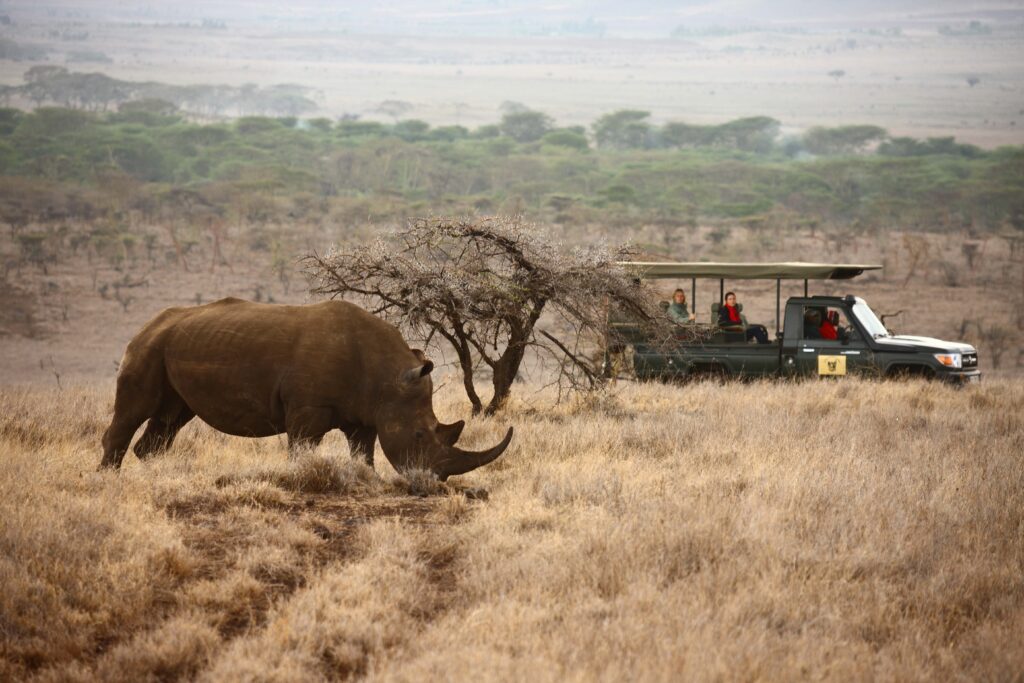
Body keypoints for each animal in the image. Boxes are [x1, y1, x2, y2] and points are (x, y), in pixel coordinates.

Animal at [100, 298, 513, 480]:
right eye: (418, 435)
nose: (434, 482)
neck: (388, 376)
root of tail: (148, 323)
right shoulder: (307, 409)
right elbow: (301, 448)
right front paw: (301, 479)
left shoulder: (365, 413)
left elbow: (363, 452)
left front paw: (369, 480)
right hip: (149, 346)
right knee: (135, 411)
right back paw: (108, 479)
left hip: (174, 346)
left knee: (171, 418)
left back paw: (154, 474)